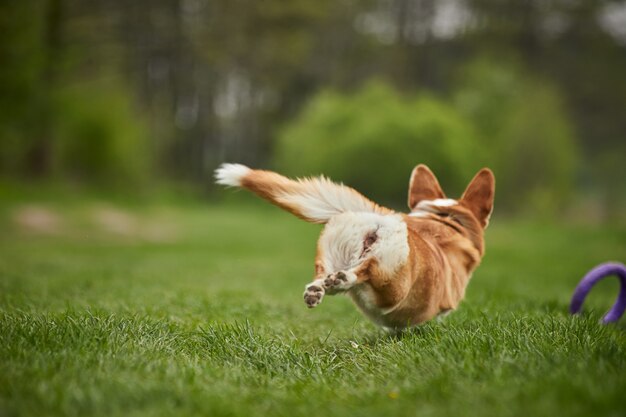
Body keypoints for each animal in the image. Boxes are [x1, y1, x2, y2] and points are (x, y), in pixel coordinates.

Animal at [214, 162, 492, 328]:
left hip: (331, 251)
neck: (441, 222)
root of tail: (383, 215)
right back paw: (343, 279)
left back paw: (317, 290)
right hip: (393, 279)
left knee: (323, 275)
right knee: (365, 272)